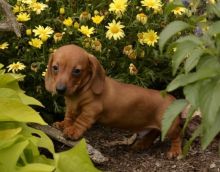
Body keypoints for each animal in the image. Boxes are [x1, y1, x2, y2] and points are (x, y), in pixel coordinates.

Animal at [45, 44, 182, 159]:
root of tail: (172, 99)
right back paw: (142, 144)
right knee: (154, 132)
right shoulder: (71, 107)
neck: (82, 90)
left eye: (77, 71)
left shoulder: (91, 110)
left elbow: (81, 121)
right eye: (55, 68)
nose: (60, 89)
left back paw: (174, 151)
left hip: (170, 126)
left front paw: (73, 131)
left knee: (177, 136)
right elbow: (69, 117)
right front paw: (63, 124)